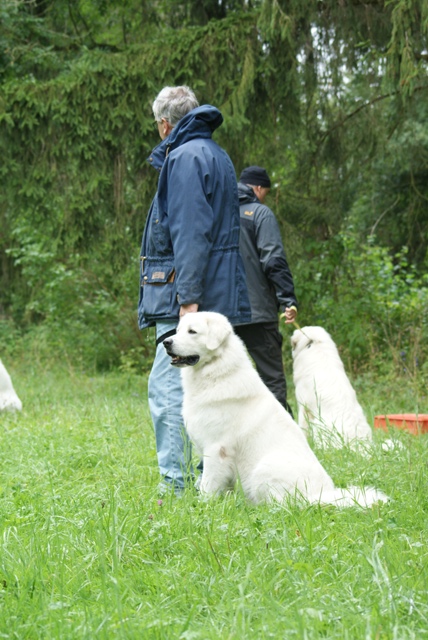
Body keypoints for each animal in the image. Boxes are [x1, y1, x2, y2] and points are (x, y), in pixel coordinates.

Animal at [163, 312, 387, 507]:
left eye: (192, 332)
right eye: (178, 330)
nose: (166, 342)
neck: (216, 372)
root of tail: (319, 495)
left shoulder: (216, 449)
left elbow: (208, 485)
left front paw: (203, 507)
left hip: (263, 468)